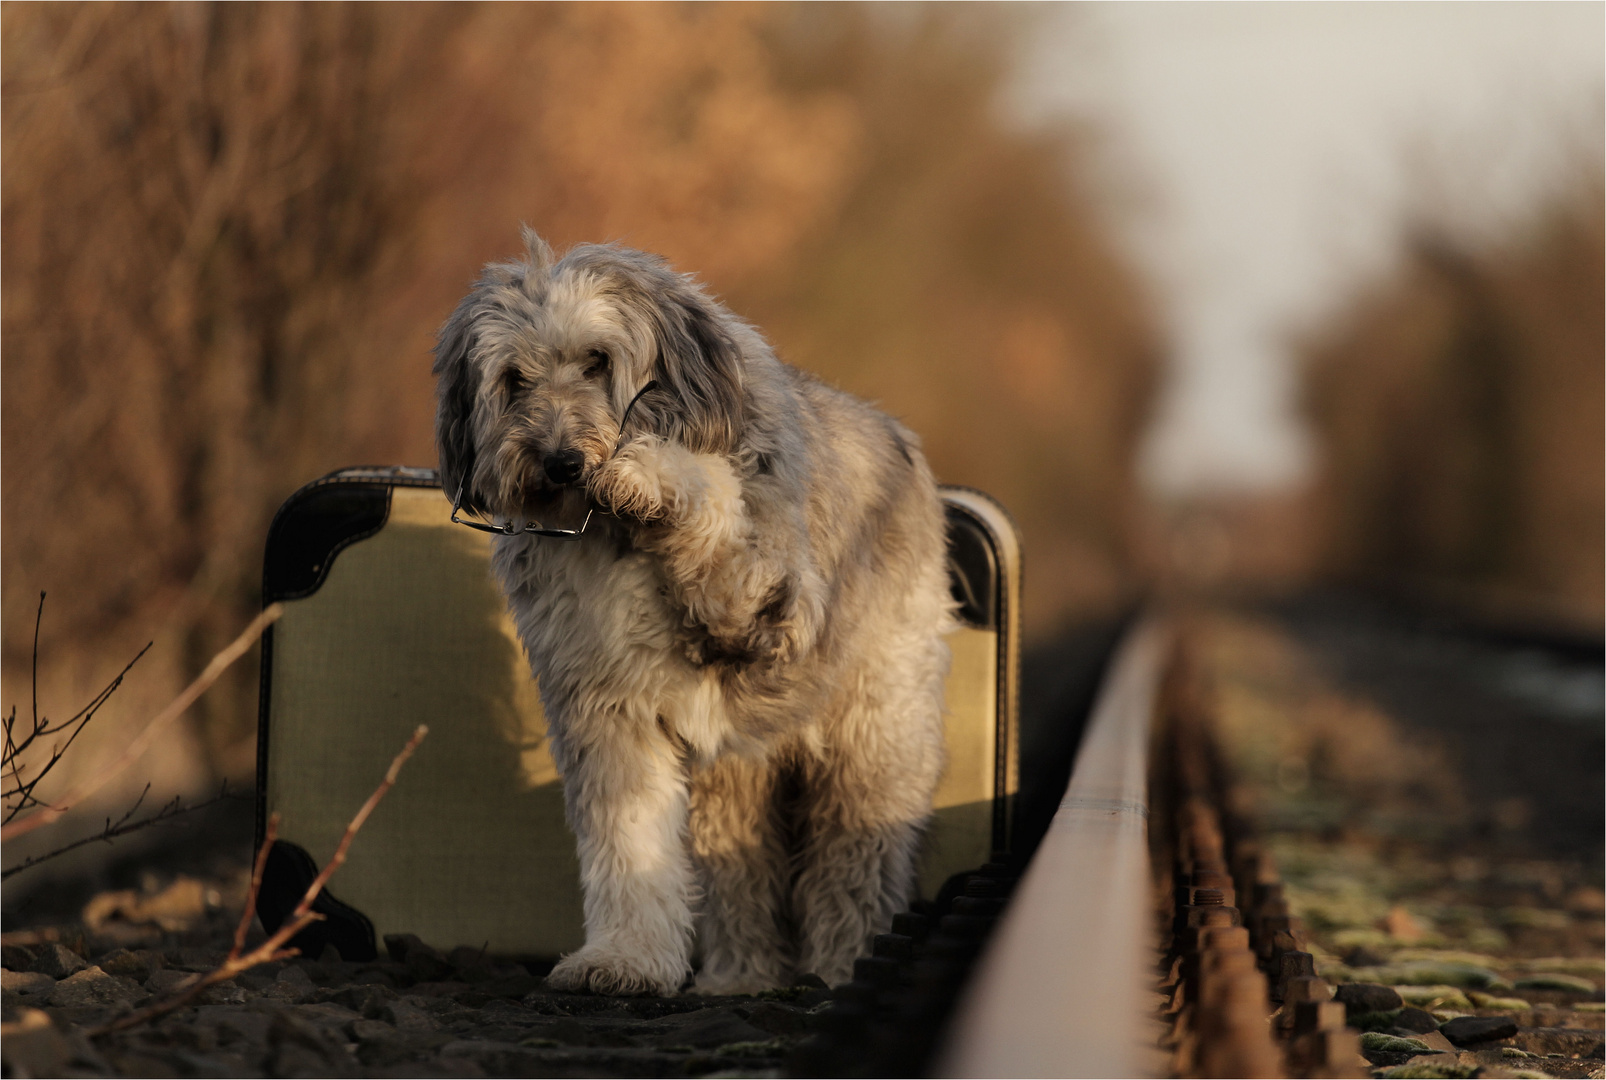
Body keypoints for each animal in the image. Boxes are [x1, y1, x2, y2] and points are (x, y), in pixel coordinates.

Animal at [433, 229, 950, 996]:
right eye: (513, 380)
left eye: (597, 360)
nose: (559, 461)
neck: (615, 537)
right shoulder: (608, 708)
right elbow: (629, 842)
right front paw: (625, 958)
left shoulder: (774, 604)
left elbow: (714, 496)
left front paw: (654, 474)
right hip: (730, 777)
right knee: (741, 879)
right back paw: (740, 977)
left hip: (874, 733)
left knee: (853, 864)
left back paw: (841, 966)